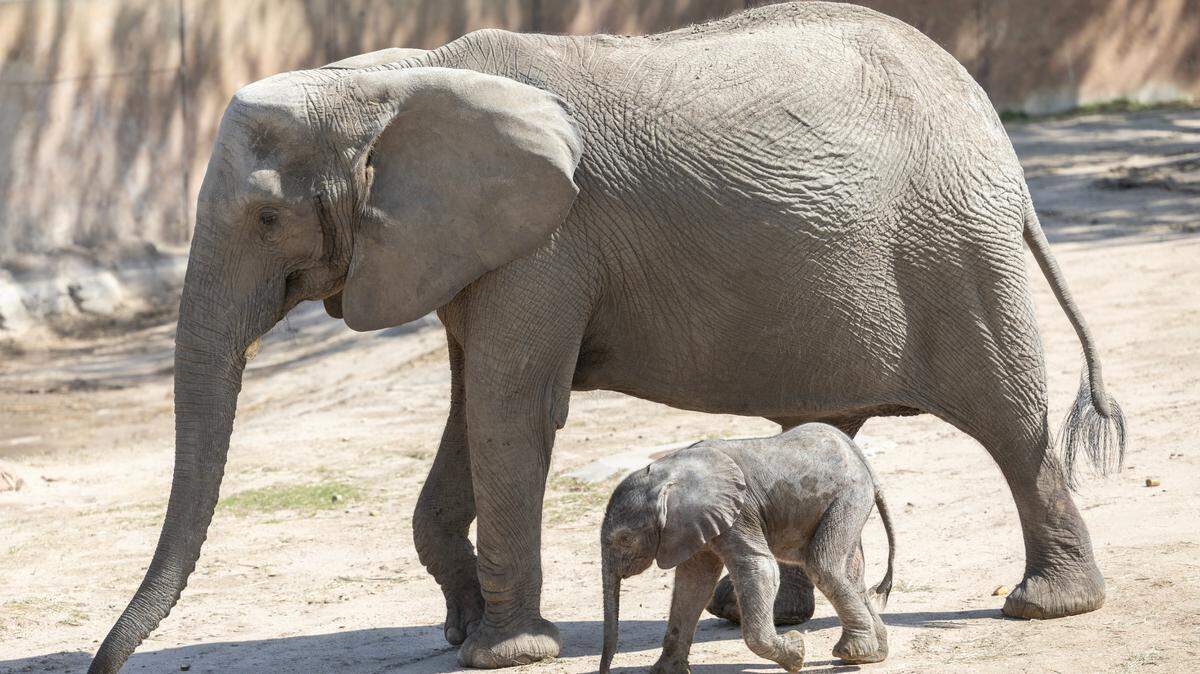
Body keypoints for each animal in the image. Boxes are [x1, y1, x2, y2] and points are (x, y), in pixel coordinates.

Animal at [599, 424, 896, 674]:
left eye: (624, 539)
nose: (604, 671)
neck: (667, 472)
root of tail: (865, 464)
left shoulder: (739, 511)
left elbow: (759, 568)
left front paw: (796, 653)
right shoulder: (693, 525)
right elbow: (693, 584)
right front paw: (665, 672)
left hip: (848, 498)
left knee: (823, 565)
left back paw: (850, 652)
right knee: (851, 574)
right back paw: (871, 655)